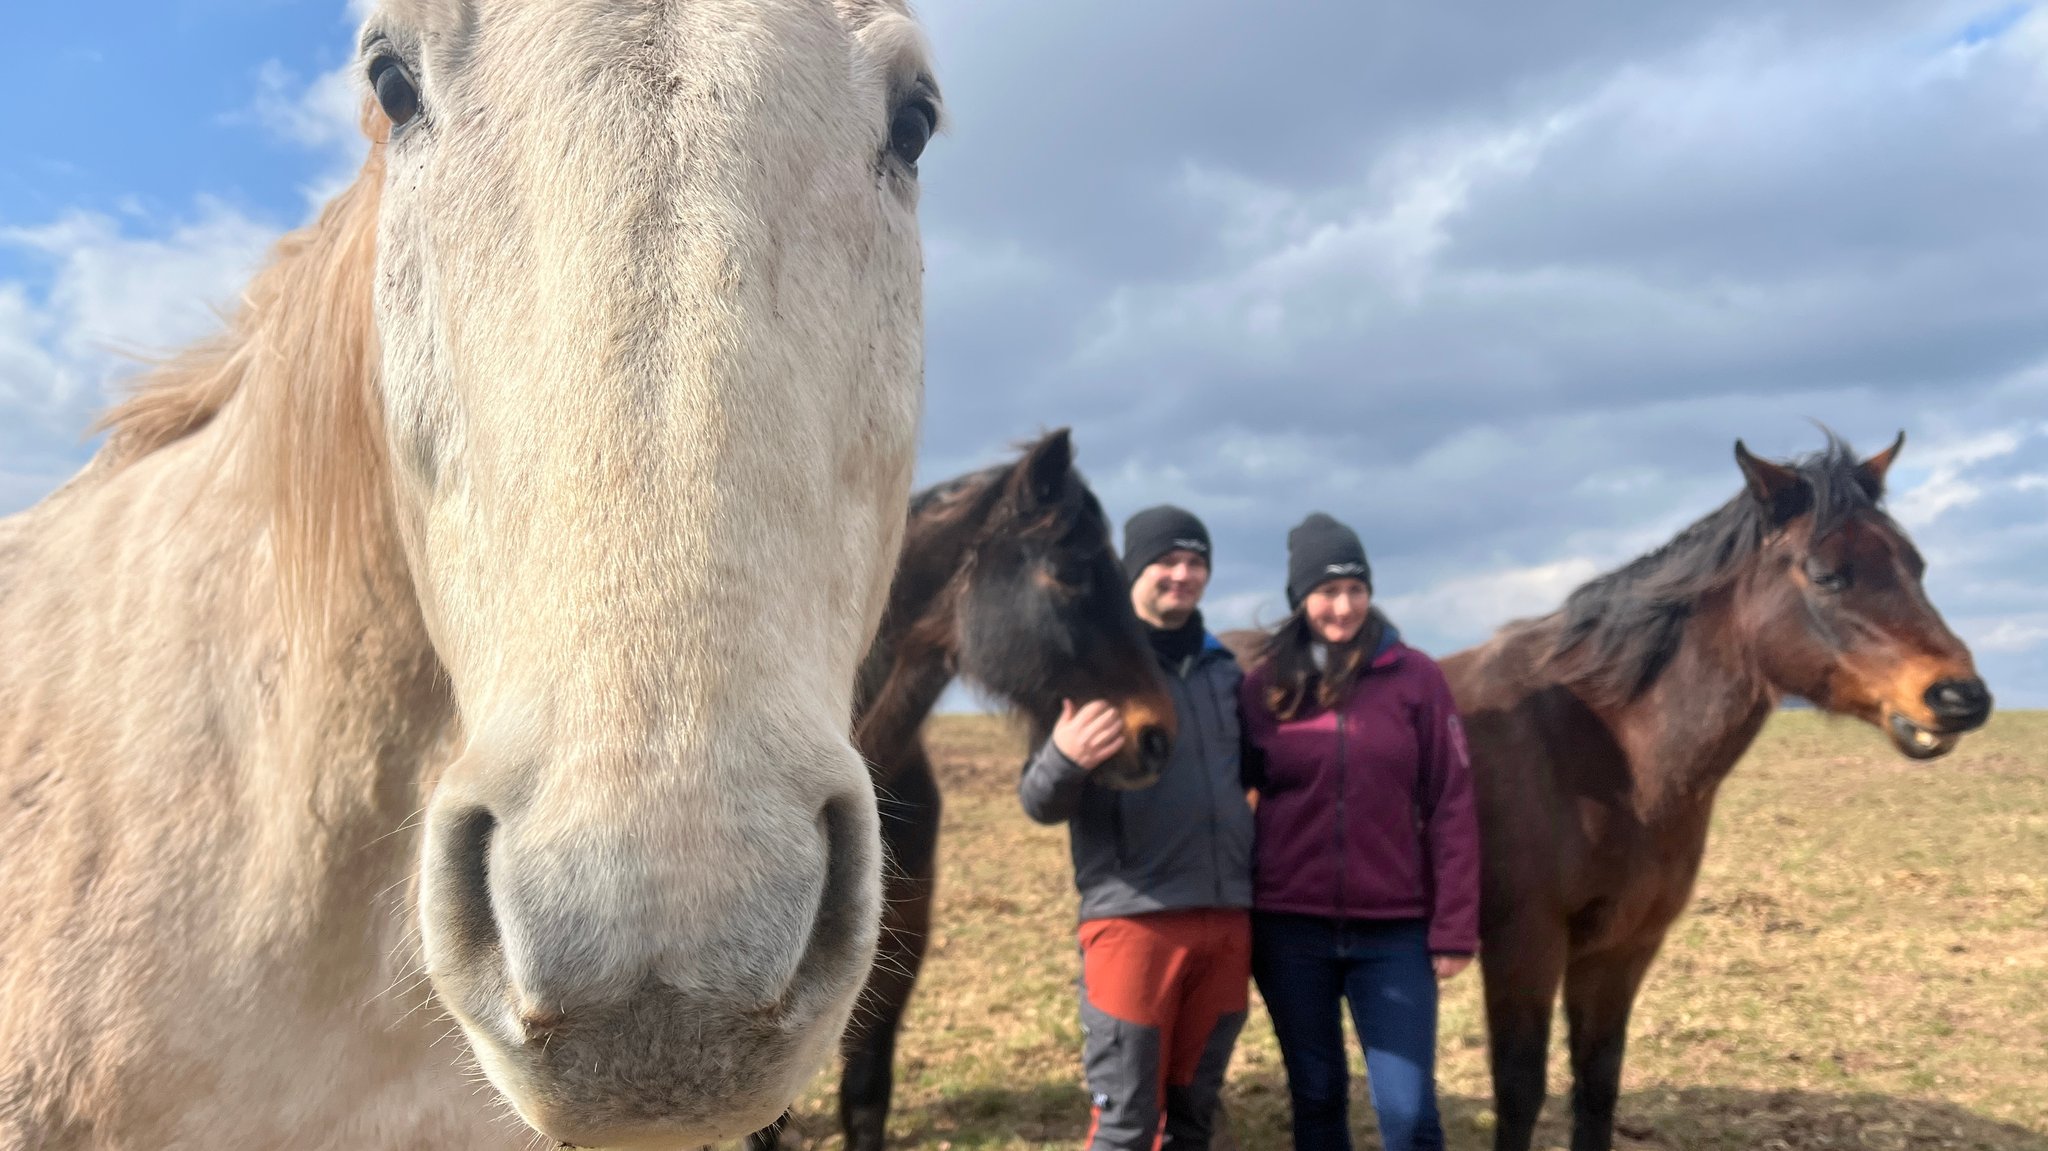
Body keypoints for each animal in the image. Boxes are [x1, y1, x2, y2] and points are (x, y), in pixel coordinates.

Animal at [1433, 430, 1990, 1146]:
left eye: (1916, 566)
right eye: (1827, 573)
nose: (1961, 698)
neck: (1602, 752)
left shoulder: (1622, 946)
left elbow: (1596, 1086)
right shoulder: (1524, 946)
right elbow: (1520, 1092)